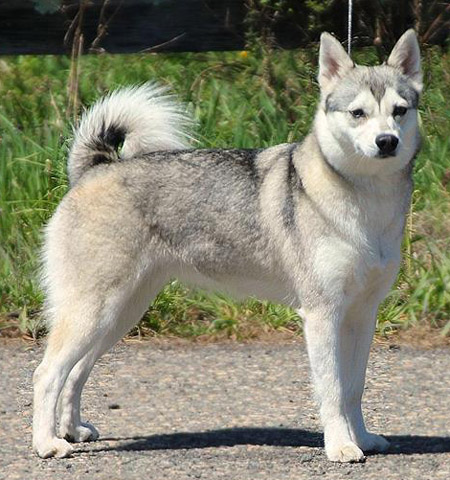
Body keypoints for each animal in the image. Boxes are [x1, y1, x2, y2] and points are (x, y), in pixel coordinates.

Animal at [33, 30, 422, 462]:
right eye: (358, 113)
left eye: (400, 110)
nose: (386, 141)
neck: (365, 200)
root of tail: (95, 169)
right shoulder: (323, 316)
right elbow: (333, 391)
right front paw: (340, 446)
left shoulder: (361, 316)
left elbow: (355, 389)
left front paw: (363, 438)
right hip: (93, 312)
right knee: (47, 374)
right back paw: (47, 443)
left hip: (118, 315)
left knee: (75, 373)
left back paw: (72, 430)